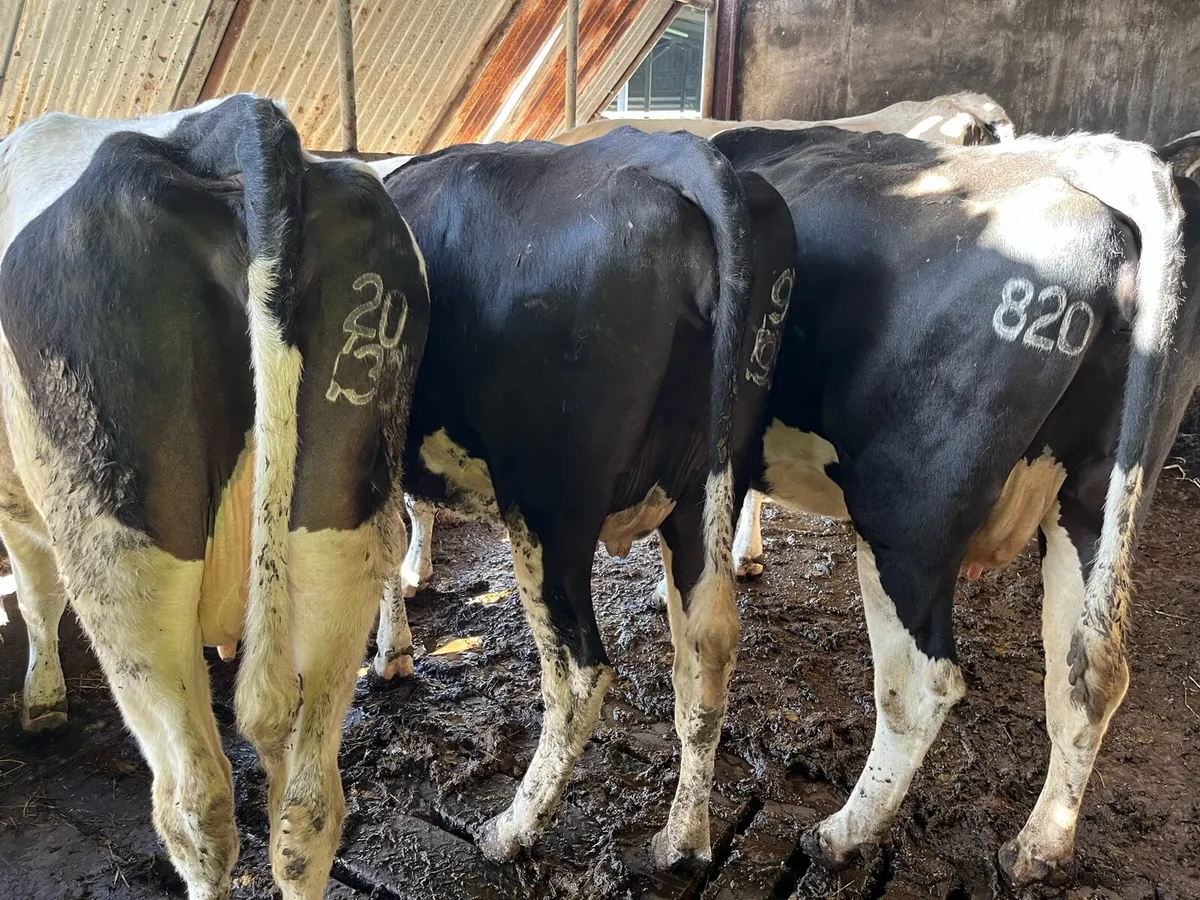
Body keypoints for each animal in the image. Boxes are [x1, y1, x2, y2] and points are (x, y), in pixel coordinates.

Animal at [0, 94, 429, 900]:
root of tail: (239, 124)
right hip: (340, 524)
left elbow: (35, 590)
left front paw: (41, 701)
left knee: (196, 804)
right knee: (308, 805)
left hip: (124, 558)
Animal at [373, 129, 797, 867]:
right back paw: (682, 837)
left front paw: (388, 647)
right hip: (707, 484)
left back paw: (512, 828)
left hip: (549, 506)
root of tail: (682, 153)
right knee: (708, 649)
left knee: (579, 672)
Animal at [695, 124, 1197, 886]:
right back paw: (1037, 848)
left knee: (921, 687)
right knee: (1085, 676)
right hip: (1093, 501)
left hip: (906, 518)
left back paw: (843, 833)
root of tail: (1093, 159)